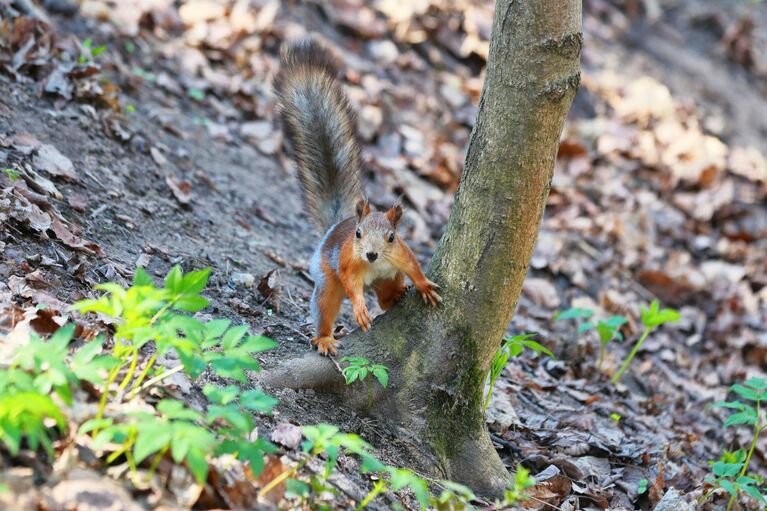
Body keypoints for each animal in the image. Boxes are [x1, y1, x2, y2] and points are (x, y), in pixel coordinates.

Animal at [272, 39, 440, 356]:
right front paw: (361, 310)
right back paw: (325, 338)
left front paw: (424, 285)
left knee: (385, 297)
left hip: (388, 279)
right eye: (359, 234)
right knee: (326, 305)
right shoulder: (348, 262)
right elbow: (352, 286)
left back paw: (398, 294)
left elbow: (414, 265)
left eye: (391, 237)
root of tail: (336, 225)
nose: (371, 254)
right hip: (326, 278)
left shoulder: (401, 254)